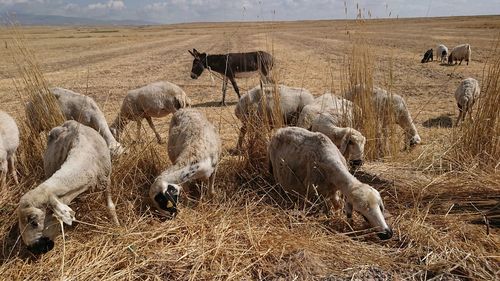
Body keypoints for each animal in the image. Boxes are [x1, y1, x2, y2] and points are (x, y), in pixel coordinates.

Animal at [17, 120, 120, 254]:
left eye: (34, 222)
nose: (32, 249)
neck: (86, 156)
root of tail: (67, 124)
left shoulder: (106, 179)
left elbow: (110, 207)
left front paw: (117, 226)